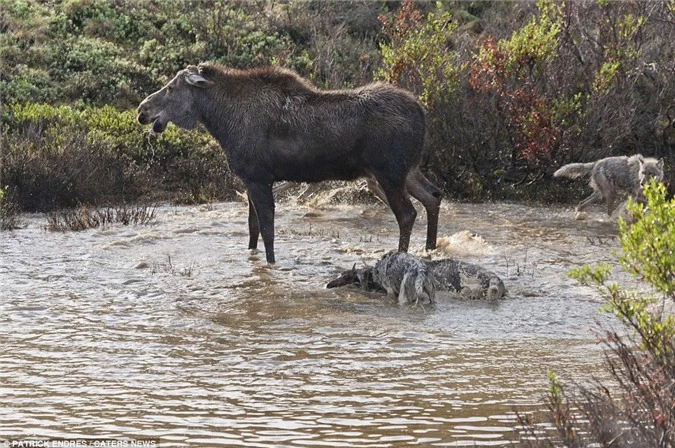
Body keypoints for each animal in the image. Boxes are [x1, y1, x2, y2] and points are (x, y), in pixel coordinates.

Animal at [137, 65, 444, 264]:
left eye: (171, 88)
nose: (142, 110)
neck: (221, 122)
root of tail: (422, 114)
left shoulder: (259, 177)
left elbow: (268, 230)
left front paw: (271, 265)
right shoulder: (250, 179)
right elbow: (253, 228)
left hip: (388, 173)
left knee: (407, 213)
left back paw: (402, 255)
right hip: (406, 171)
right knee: (434, 196)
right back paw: (430, 249)